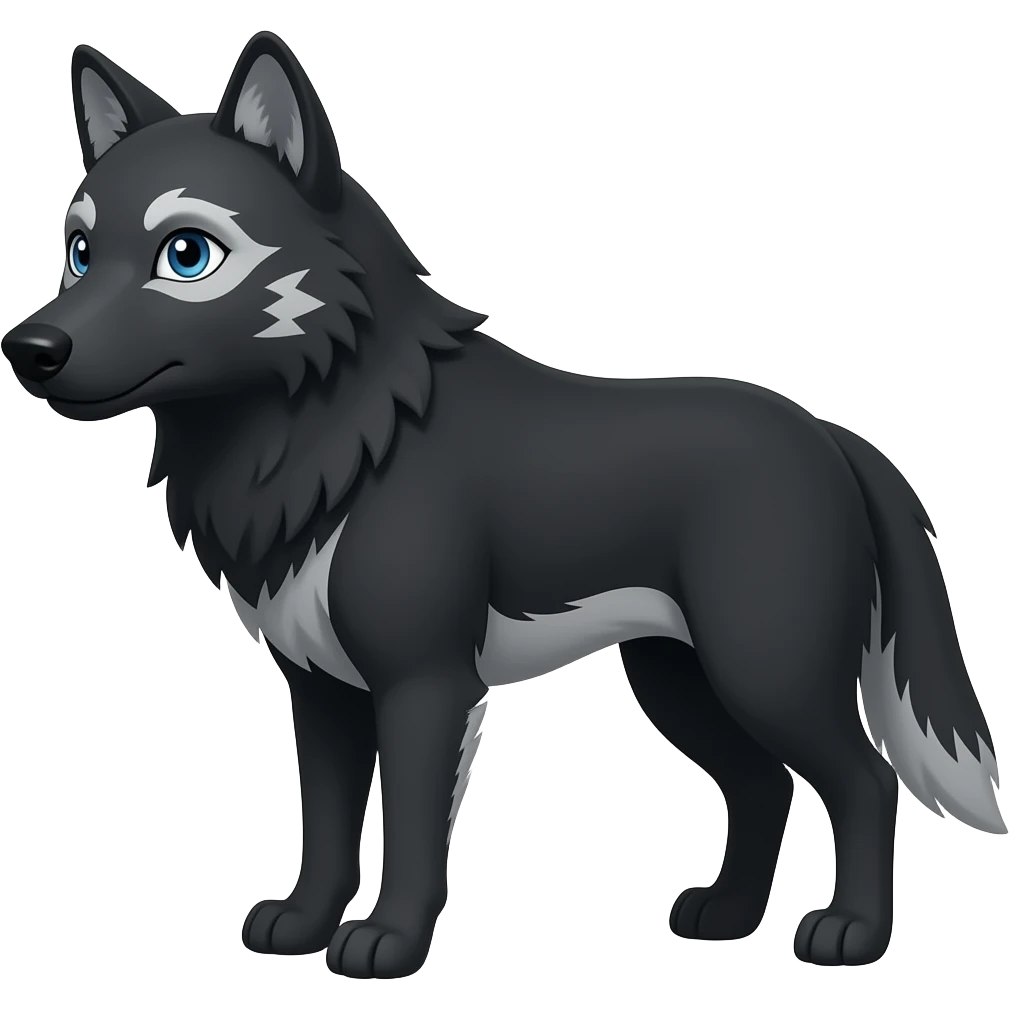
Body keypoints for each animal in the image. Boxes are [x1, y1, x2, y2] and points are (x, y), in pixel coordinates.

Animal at [2, 31, 1004, 978]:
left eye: (187, 253)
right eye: (80, 253)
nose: (29, 348)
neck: (341, 435)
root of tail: (831, 436)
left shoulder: (425, 683)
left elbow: (409, 831)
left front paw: (387, 945)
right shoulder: (320, 690)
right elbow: (324, 824)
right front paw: (301, 925)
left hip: (766, 668)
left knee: (866, 782)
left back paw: (851, 934)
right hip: (678, 678)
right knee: (764, 787)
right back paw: (724, 917)